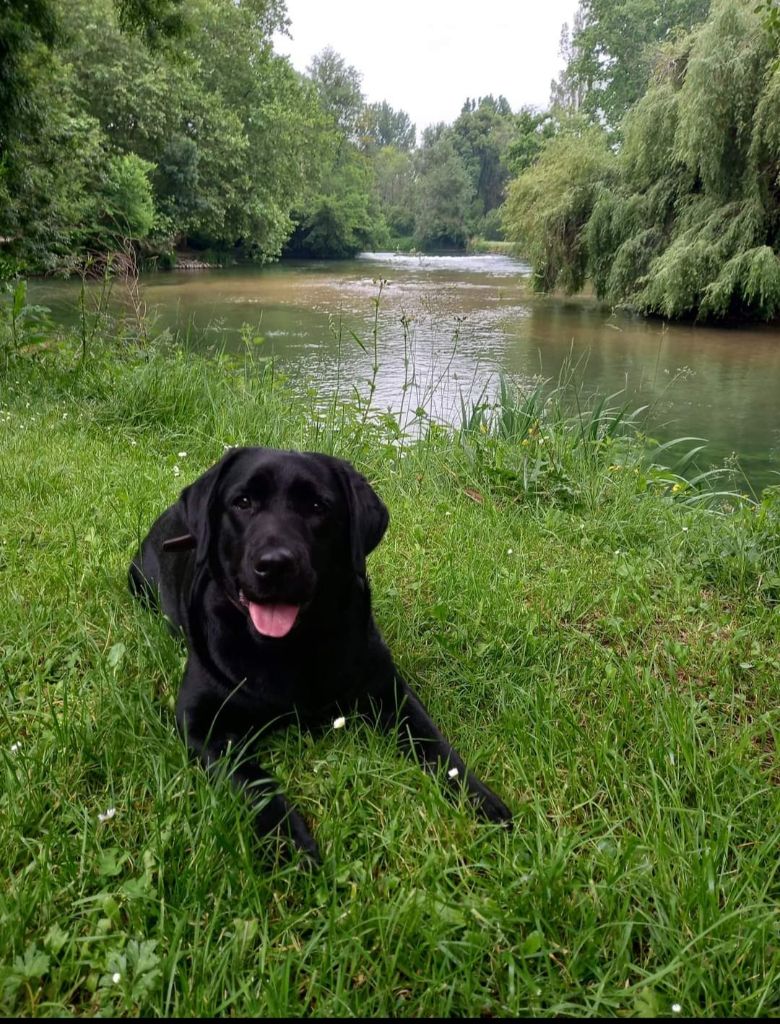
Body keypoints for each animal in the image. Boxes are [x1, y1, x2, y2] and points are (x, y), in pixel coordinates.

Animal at [127, 444, 509, 860]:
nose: (275, 564)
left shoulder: (388, 690)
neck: (288, 646)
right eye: (242, 502)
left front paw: (481, 799)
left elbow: (435, 745)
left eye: (316, 506)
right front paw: (290, 843)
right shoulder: (199, 721)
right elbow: (254, 780)